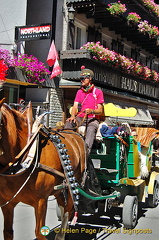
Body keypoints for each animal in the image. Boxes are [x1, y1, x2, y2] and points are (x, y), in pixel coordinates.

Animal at [0, 98, 86, 239]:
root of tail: (76, 133)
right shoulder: (7, 203)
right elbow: (7, 232)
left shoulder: (41, 201)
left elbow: (39, 232)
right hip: (60, 188)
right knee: (63, 206)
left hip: (73, 184)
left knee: (68, 209)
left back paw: (61, 234)